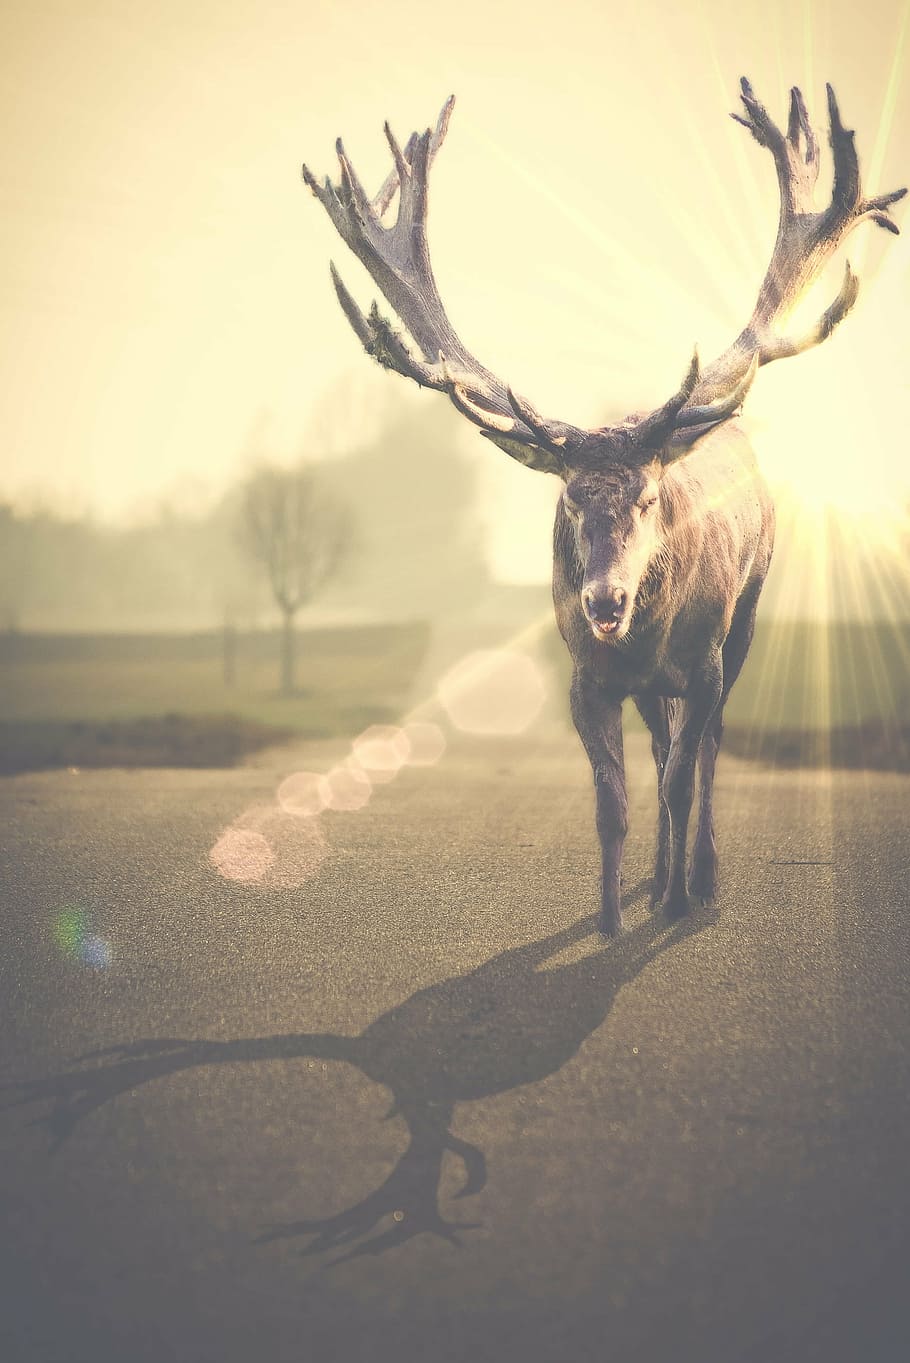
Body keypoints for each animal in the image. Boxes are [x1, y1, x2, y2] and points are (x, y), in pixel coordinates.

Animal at [302, 79, 905, 935]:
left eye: (649, 496)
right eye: (567, 496)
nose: (605, 599)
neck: (644, 638)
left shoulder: (706, 660)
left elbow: (686, 773)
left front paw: (680, 898)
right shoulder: (585, 678)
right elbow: (611, 801)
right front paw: (615, 911)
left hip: (750, 614)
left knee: (706, 746)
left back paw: (699, 876)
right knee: (660, 743)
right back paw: (657, 873)